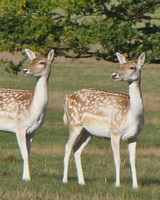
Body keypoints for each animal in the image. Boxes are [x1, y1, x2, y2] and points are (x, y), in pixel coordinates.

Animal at [0, 48, 54, 180]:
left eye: (42, 62)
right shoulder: (19, 127)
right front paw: (26, 178)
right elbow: (24, 153)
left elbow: (29, 154)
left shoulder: (32, 131)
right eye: (31, 60)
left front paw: (26, 176)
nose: (25, 70)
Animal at [62, 52, 145, 188]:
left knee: (77, 149)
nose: (114, 74)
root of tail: (66, 98)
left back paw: (82, 181)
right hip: (74, 124)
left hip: (87, 132)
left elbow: (133, 160)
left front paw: (136, 185)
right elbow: (117, 159)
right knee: (68, 147)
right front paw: (117, 184)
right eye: (121, 65)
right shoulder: (114, 132)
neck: (131, 115)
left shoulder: (134, 135)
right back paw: (65, 180)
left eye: (132, 67)